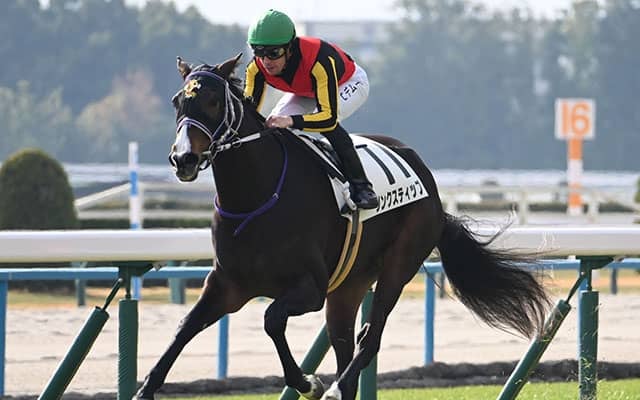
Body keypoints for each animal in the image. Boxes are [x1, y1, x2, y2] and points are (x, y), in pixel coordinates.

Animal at [134, 54, 551, 400]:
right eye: (177, 101)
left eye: (212, 102)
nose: (183, 159)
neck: (255, 197)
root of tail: (431, 186)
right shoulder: (227, 285)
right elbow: (185, 327)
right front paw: (145, 389)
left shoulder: (310, 288)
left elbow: (271, 320)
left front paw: (308, 383)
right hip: (348, 285)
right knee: (345, 341)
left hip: (399, 264)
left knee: (370, 339)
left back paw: (338, 386)